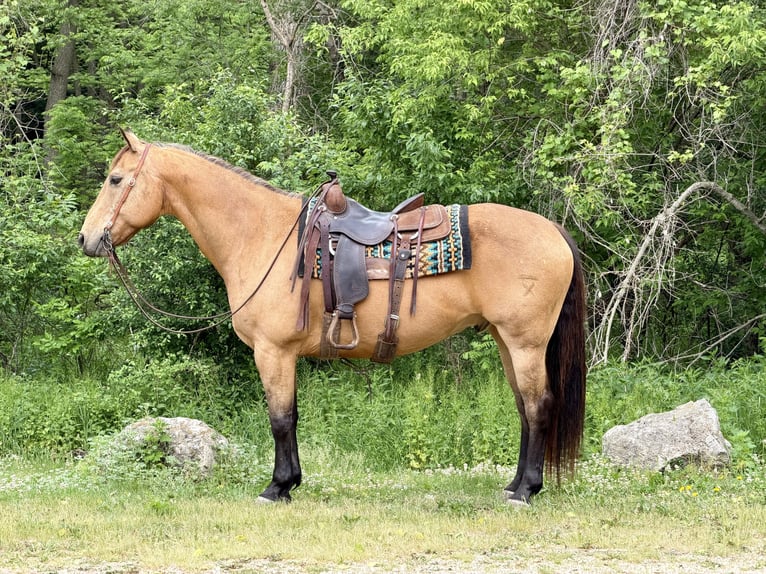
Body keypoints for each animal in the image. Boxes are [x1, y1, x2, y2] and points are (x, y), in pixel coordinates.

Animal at [78, 128, 587, 506]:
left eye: (116, 180)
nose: (86, 238)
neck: (261, 234)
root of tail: (554, 230)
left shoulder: (273, 352)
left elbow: (280, 418)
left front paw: (277, 487)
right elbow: (292, 416)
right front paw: (292, 482)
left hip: (524, 342)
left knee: (539, 406)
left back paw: (526, 491)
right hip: (505, 340)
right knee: (523, 408)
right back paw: (513, 484)